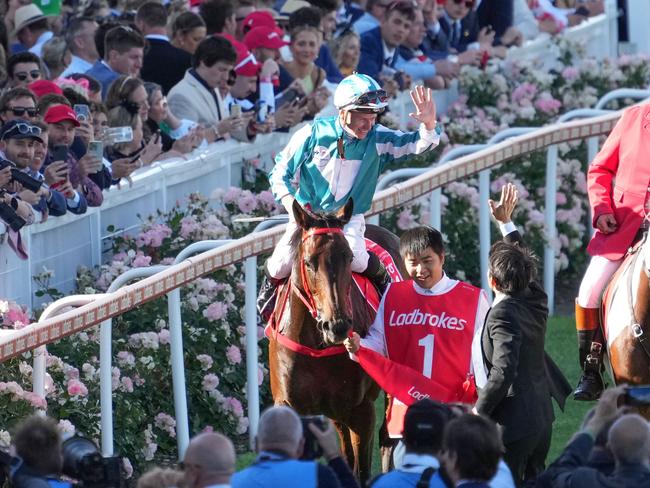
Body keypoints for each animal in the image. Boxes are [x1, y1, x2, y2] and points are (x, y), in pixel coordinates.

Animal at [268, 199, 400, 484]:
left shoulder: (362, 409)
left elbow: (362, 471)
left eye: (349, 258)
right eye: (308, 262)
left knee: (386, 439)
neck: (317, 346)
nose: (337, 325)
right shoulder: (291, 406)